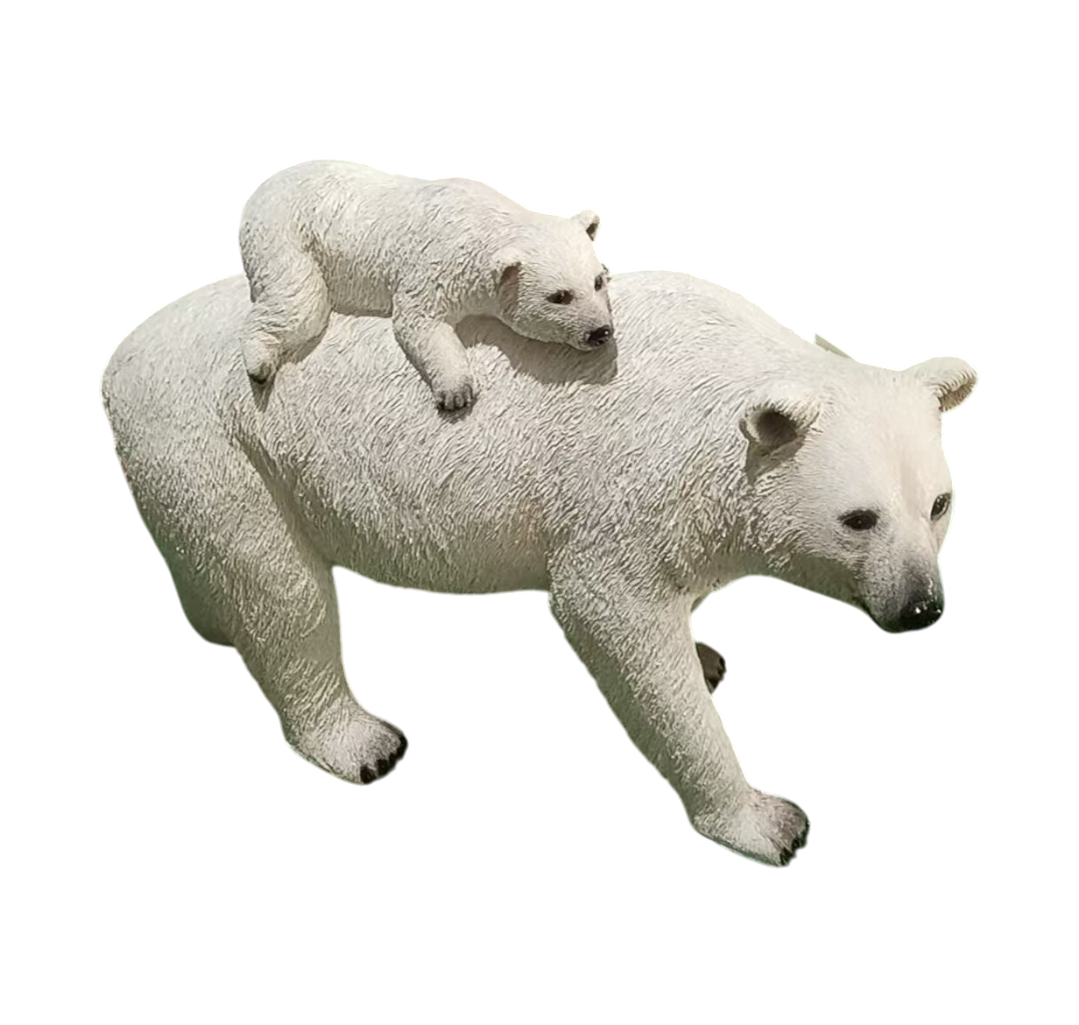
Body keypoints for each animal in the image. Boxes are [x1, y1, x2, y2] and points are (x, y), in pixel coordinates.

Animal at [99, 266, 978, 869]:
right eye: (858, 518)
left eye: (937, 503)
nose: (920, 609)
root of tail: (119, 354)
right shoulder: (625, 489)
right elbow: (617, 629)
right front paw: (768, 820)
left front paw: (706, 654)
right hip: (218, 437)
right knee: (283, 591)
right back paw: (361, 743)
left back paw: (213, 622)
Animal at [236, 157, 613, 409]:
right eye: (559, 296)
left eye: (598, 281)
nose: (600, 332)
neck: (482, 223)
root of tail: (262, 185)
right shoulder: (437, 263)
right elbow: (418, 321)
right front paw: (456, 393)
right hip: (284, 235)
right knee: (301, 303)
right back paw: (259, 366)